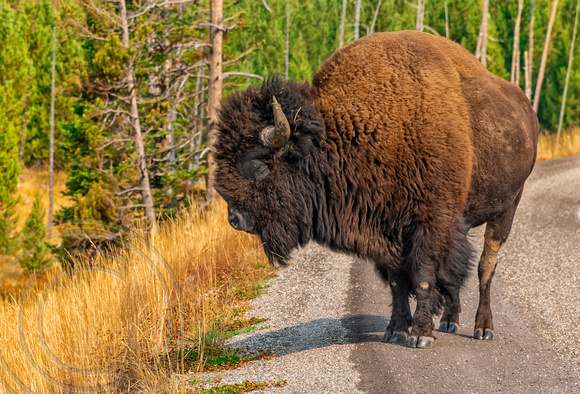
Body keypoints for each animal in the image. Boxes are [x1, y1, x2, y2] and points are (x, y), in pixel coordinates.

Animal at [214, 31, 540, 348]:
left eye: (258, 164)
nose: (235, 219)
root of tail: (527, 110)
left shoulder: (429, 223)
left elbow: (424, 277)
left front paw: (420, 335)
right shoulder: (387, 231)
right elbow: (398, 283)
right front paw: (395, 331)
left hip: (507, 208)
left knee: (486, 265)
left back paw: (483, 328)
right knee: (460, 270)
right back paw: (450, 321)